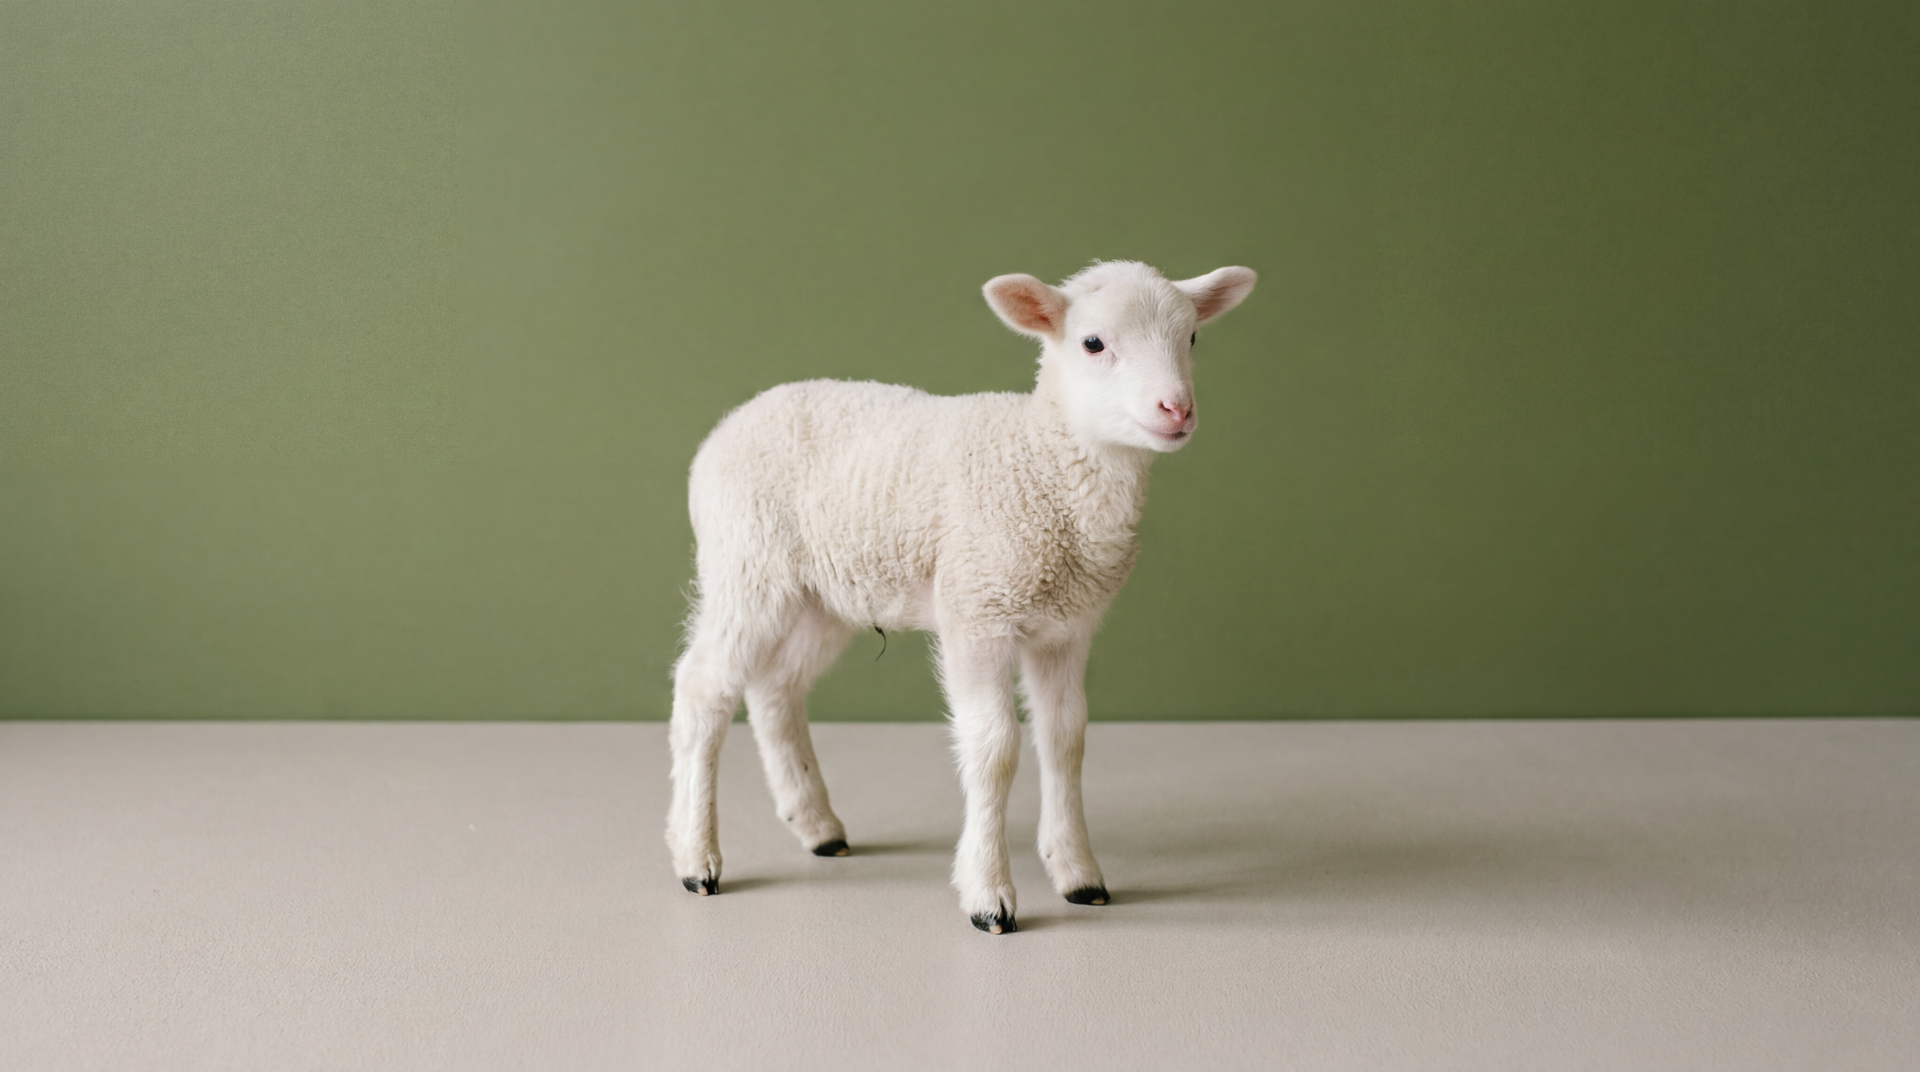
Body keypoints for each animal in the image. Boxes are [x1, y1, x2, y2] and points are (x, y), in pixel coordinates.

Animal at [666, 260, 1257, 933]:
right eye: (1093, 343)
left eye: (1192, 338)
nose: (1176, 408)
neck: (1045, 460)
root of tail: (726, 427)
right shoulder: (978, 610)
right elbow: (995, 748)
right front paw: (989, 895)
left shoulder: (1067, 627)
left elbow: (1066, 738)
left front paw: (1078, 874)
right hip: (746, 564)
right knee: (704, 687)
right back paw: (697, 858)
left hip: (824, 594)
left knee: (775, 689)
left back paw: (816, 827)